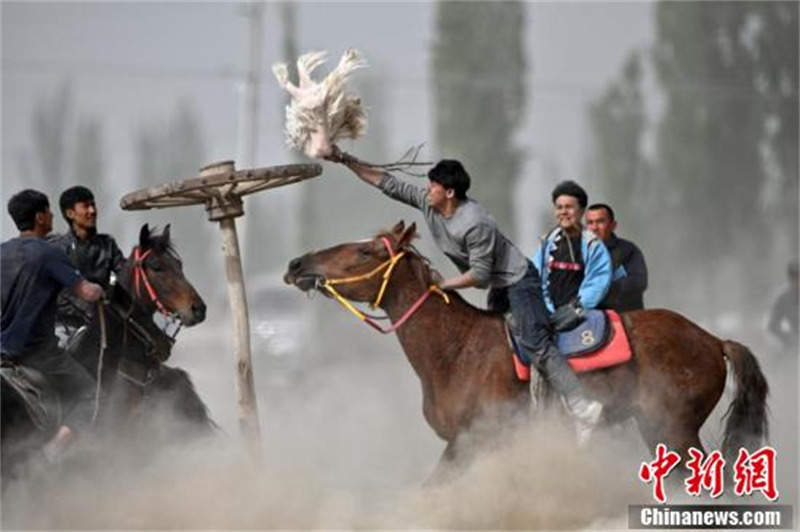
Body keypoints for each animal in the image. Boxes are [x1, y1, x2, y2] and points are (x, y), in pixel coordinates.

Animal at [284, 220, 772, 474]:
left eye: (366, 251)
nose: (297, 263)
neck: (456, 349)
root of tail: (713, 339)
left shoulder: (469, 443)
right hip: (655, 429)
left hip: (674, 429)